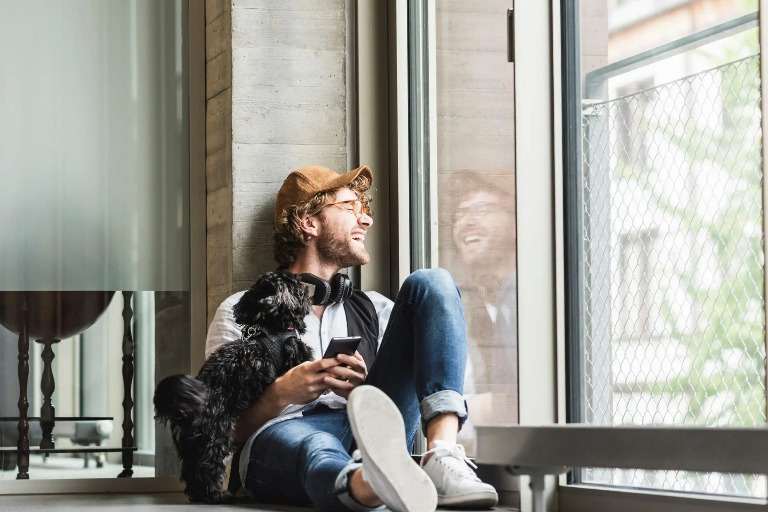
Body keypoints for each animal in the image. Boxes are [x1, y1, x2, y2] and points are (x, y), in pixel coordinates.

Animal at [154, 270, 314, 502]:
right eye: (295, 285)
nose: (306, 288)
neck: (269, 326)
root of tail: (186, 409)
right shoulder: (296, 354)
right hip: (216, 438)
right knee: (208, 469)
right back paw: (218, 495)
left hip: (190, 446)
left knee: (191, 473)